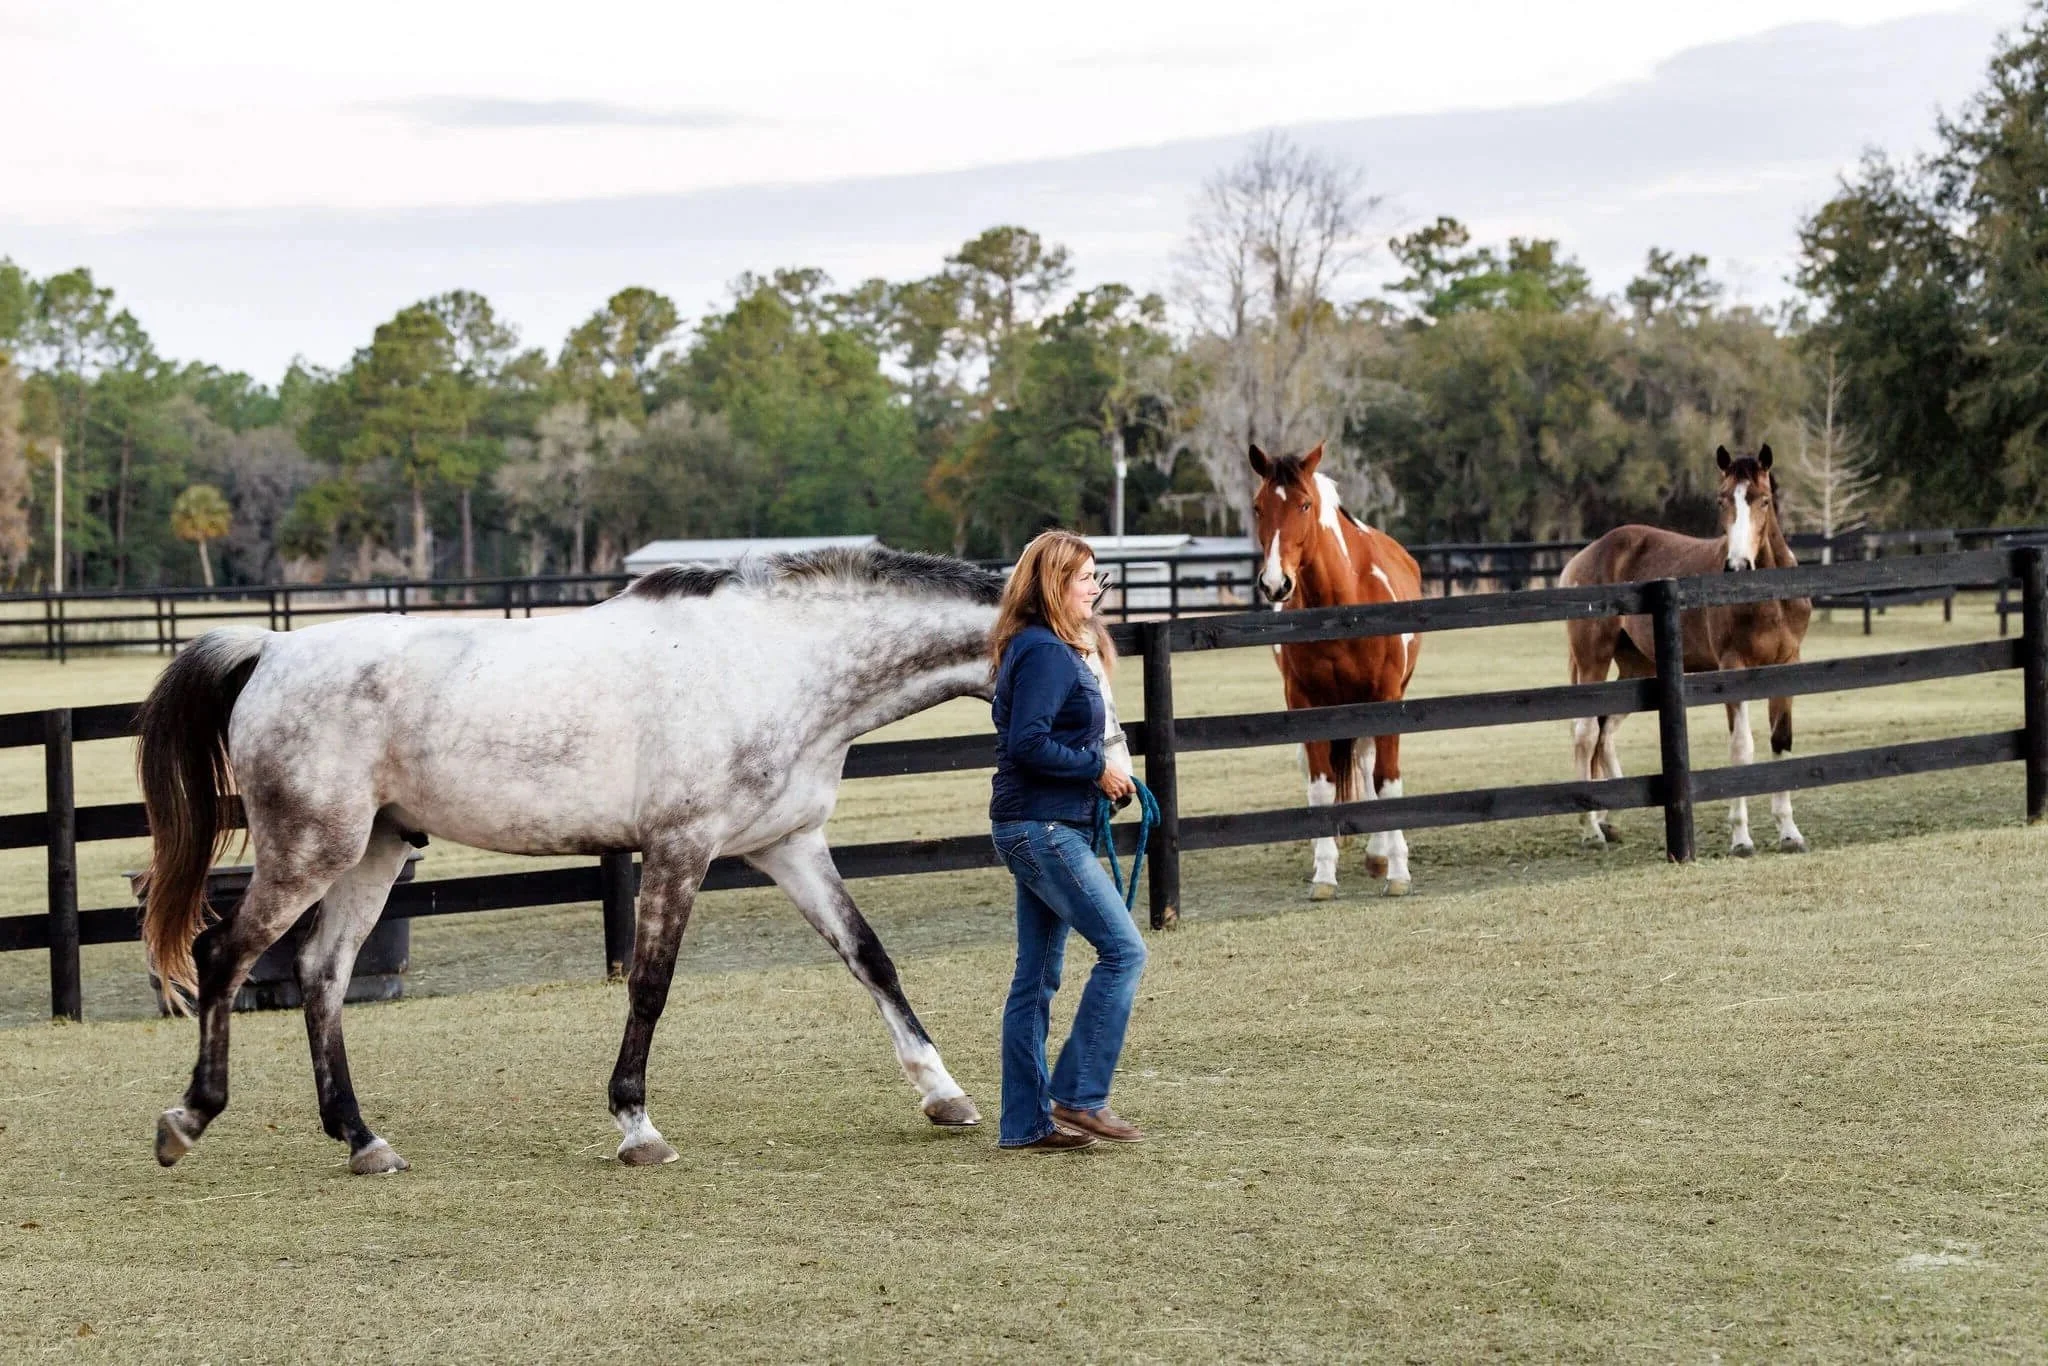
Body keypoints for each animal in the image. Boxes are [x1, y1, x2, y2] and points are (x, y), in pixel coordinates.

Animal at [136, 546, 1002, 1175]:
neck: (773, 661)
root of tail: (271, 647)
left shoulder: (787, 846)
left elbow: (869, 956)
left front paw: (945, 1094)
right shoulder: (679, 849)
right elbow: (650, 986)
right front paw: (637, 1126)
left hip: (372, 853)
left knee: (322, 974)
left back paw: (362, 1139)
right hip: (311, 850)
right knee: (224, 956)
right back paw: (187, 1120)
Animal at [1249, 441, 1424, 898]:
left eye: (1305, 504)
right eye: (1258, 507)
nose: (1275, 583)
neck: (1342, 605)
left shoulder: (1385, 697)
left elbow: (1387, 780)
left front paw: (1398, 871)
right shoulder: (1305, 703)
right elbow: (1321, 785)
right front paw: (1324, 873)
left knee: (1367, 761)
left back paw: (1379, 853)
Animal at [1559, 444, 1812, 856]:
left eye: (1763, 499)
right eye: (1722, 499)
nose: (1737, 565)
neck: (1766, 596)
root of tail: (1582, 557)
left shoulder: (1787, 664)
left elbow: (1781, 741)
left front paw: (1789, 833)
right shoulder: (1731, 669)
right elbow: (1742, 748)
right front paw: (1741, 838)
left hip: (1638, 667)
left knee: (1605, 730)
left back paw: (1610, 819)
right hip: (1592, 659)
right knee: (1585, 731)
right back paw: (1590, 829)